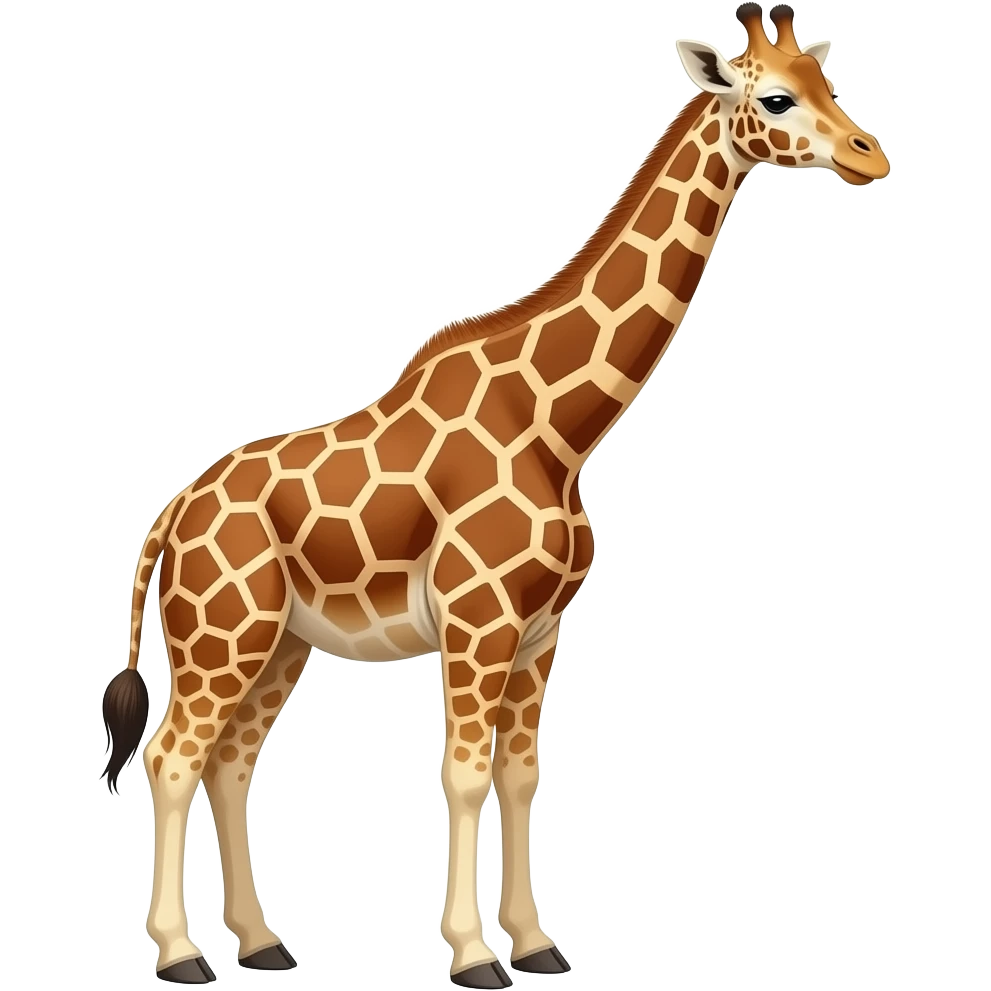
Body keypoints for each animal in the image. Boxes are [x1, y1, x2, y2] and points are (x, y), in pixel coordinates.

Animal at [100, 3, 890, 986]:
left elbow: (521, 776)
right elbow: (465, 773)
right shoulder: (478, 622)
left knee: (229, 764)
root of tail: (171, 511)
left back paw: (261, 942)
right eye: (776, 97)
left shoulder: (542, 629)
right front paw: (475, 953)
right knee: (172, 756)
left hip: (278, 640)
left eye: (828, 80)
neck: (560, 427)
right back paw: (180, 954)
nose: (869, 154)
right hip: (222, 634)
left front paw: (538, 941)